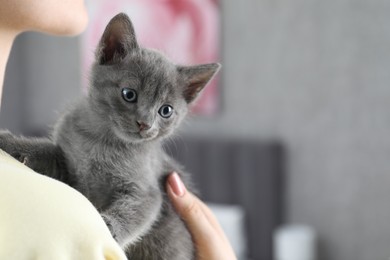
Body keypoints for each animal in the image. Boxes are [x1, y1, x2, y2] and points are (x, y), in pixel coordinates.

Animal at [0, 13, 219, 258]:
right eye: (129, 94)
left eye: (166, 110)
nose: (145, 123)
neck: (102, 142)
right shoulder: (66, 162)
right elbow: (44, 149)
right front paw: (10, 141)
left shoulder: (147, 189)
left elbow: (138, 209)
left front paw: (108, 227)